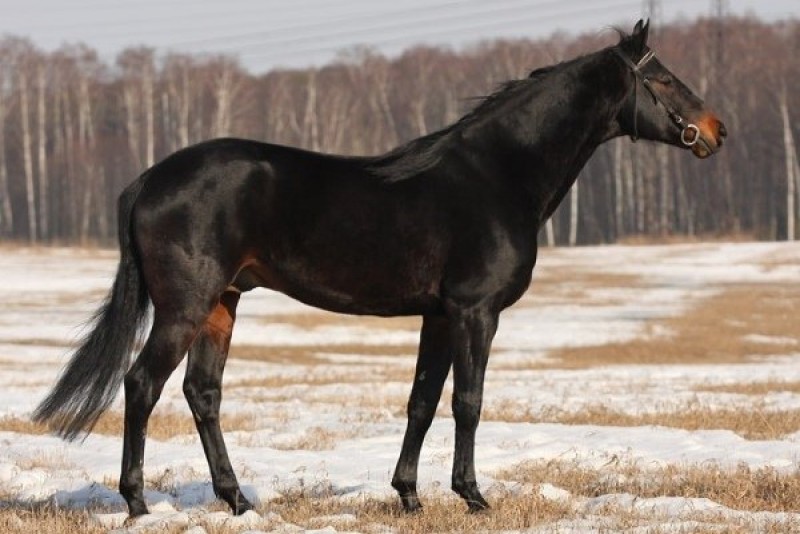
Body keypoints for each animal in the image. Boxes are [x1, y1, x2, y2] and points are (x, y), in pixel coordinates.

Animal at [34, 21, 724, 520]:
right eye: (664, 79)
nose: (717, 130)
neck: (496, 175)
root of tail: (150, 179)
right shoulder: (475, 313)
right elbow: (468, 402)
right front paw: (474, 497)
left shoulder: (439, 316)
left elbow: (422, 401)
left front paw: (409, 495)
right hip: (184, 307)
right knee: (142, 384)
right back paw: (137, 503)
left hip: (222, 304)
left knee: (203, 394)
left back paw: (237, 500)